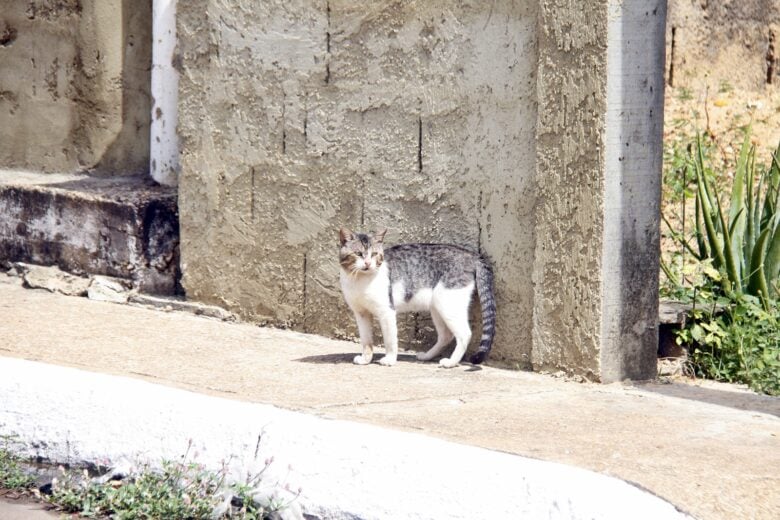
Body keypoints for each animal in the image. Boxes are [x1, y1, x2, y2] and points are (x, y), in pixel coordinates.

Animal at [338, 229, 496, 370]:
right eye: (358, 254)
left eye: (374, 254)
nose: (367, 264)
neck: (360, 280)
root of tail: (472, 254)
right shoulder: (361, 313)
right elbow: (366, 340)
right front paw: (366, 359)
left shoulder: (387, 311)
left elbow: (390, 339)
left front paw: (390, 360)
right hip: (436, 307)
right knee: (446, 335)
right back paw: (427, 356)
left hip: (446, 303)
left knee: (464, 334)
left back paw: (451, 362)